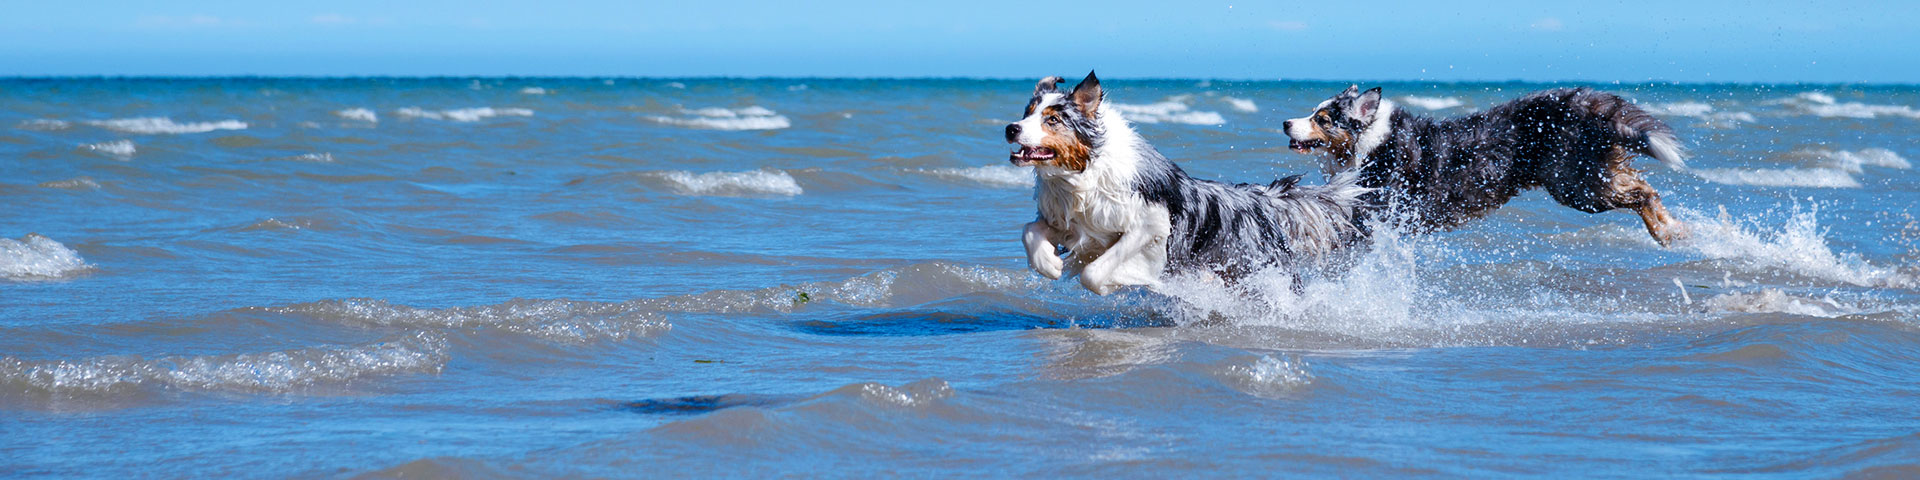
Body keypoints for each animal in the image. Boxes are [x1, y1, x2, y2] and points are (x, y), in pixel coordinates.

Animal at [1006, 72, 1367, 293]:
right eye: (1027, 113)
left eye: (1053, 119)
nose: (1010, 128)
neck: (1082, 175)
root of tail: (1261, 196)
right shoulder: (1069, 220)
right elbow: (1029, 229)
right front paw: (1049, 264)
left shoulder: (1150, 224)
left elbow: (1094, 272)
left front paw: (1121, 281)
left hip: (1266, 270)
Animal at [1282, 84, 1689, 245]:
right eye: (1314, 112)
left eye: (1322, 118)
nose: (1286, 123)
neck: (1371, 141)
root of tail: (1580, 103)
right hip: (1586, 178)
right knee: (1640, 185)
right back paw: (1675, 229)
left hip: (1576, 185)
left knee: (1641, 192)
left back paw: (1667, 232)